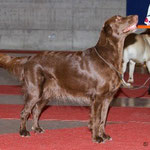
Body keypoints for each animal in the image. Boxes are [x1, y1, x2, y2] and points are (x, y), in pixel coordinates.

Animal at [0, 15, 138, 143]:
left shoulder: (108, 98)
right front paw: (97, 138)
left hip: (46, 93)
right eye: (118, 19)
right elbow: (97, 119)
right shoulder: (98, 97)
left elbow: (103, 119)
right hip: (35, 91)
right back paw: (23, 131)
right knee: (25, 112)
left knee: (36, 110)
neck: (108, 57)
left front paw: (104, 135)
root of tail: (29, 58)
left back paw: (37, 128)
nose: (136, 16)